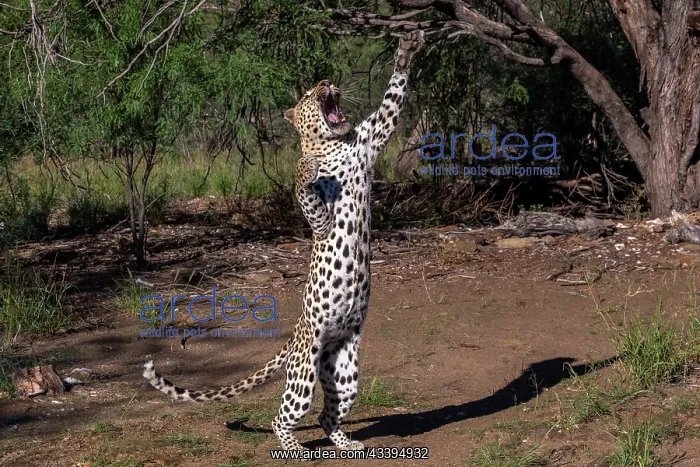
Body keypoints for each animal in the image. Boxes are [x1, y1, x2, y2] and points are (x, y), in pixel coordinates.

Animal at [142, 30, 425, 452]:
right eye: (309, 93)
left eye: (323, 83)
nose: (325, 81)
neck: (335, 143)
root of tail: (295, 338)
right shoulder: (320, 221)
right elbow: (303, 189)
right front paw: (305, 167)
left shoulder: (374, 135)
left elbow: (393, 97)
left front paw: (406, 51)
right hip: (305, 373)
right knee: (282, 417)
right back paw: (294, 449)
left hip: (344, 371)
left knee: (327, 414)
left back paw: (346, 444)